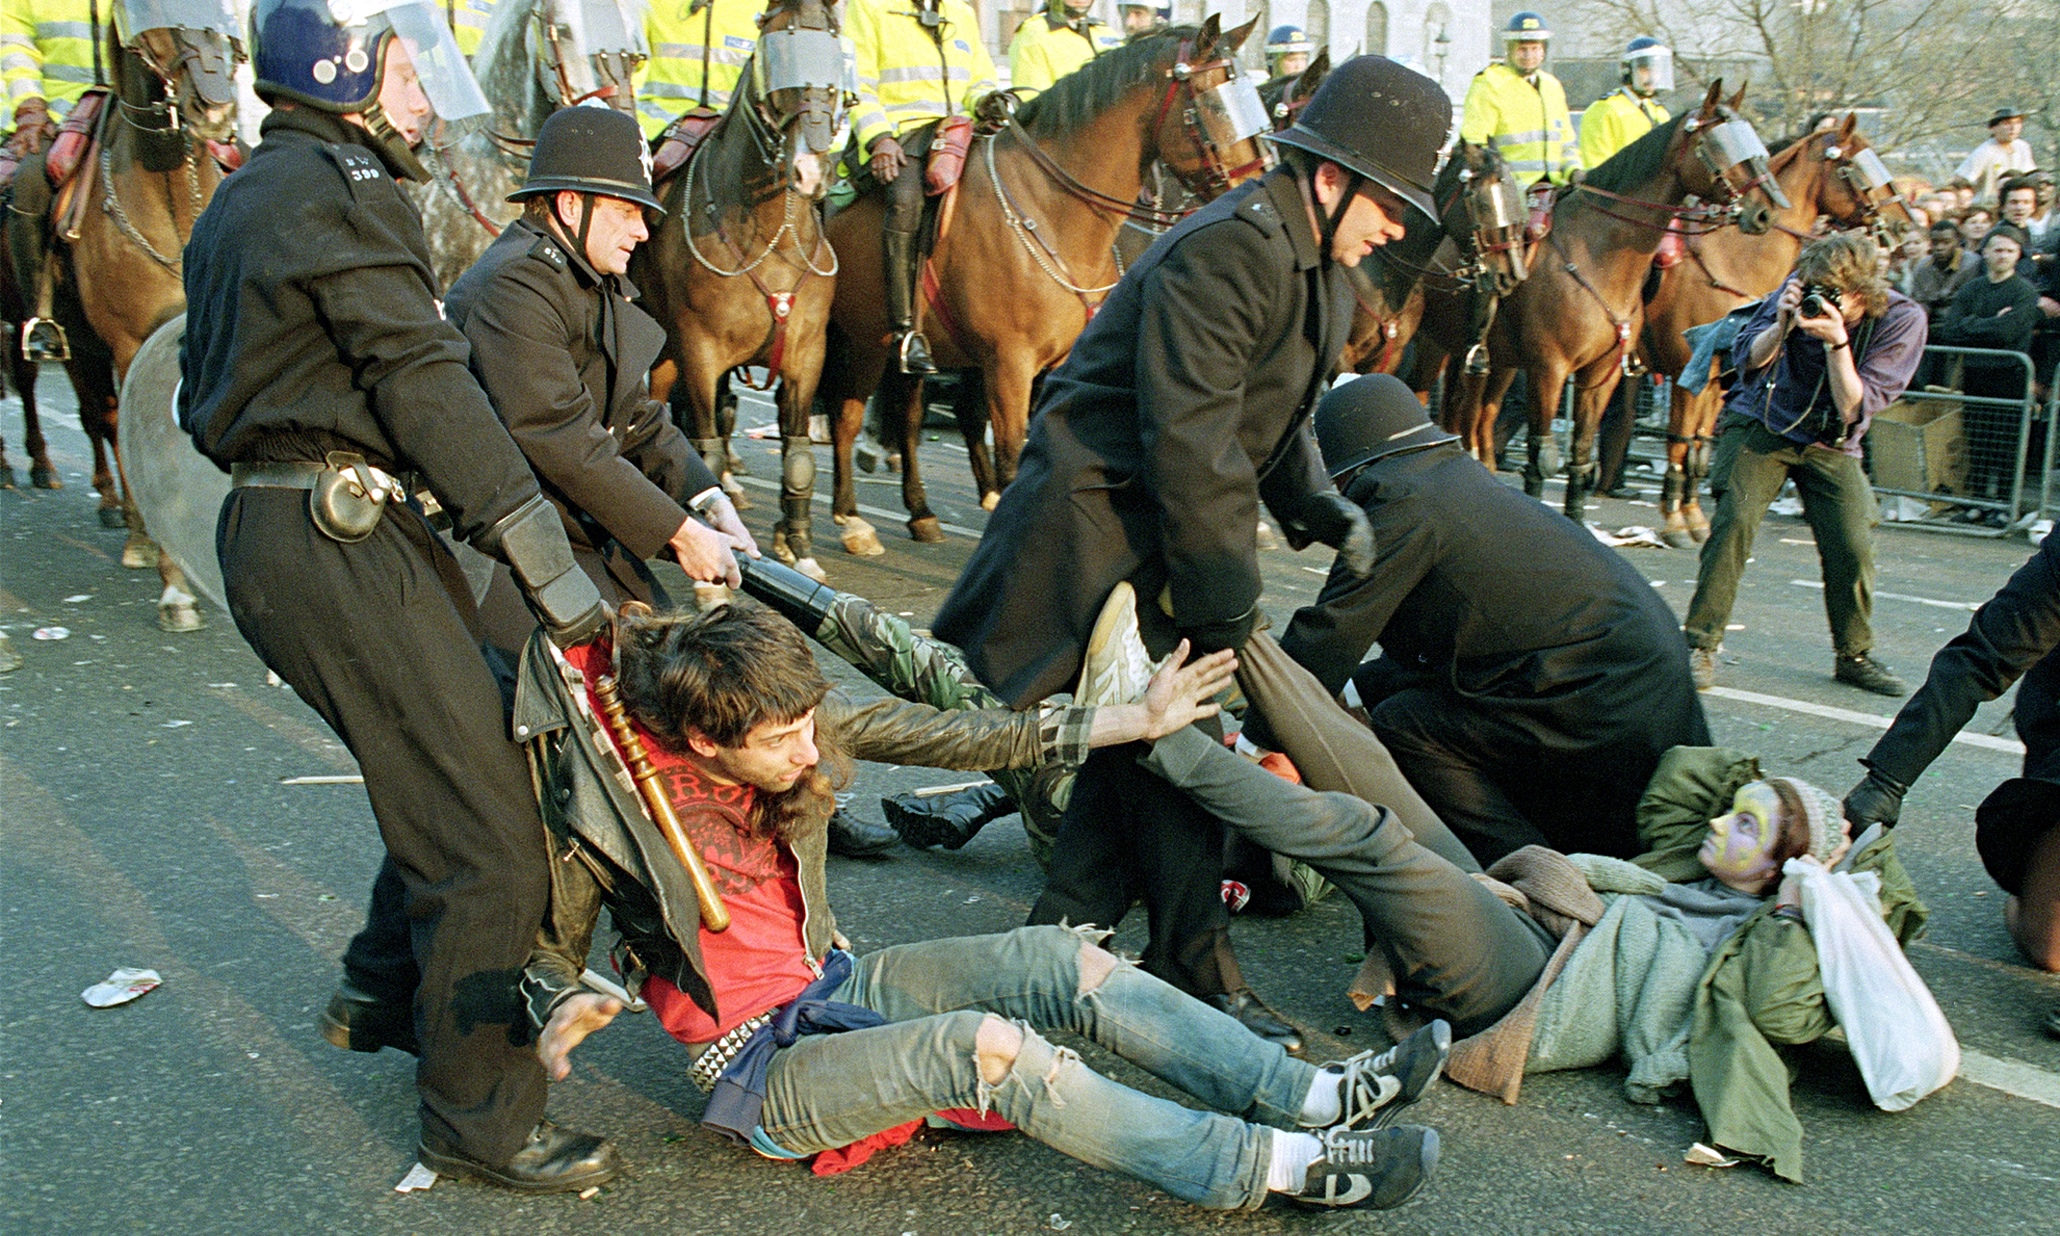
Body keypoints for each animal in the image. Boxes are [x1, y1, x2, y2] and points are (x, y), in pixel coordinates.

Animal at [634, 0, 844, 580]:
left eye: (833, 49)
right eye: (777, 48)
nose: (811, 167)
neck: (772, 236)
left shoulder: (807, 355)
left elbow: (798, 456)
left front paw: (801, 547)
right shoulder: (700, 350)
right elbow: (702, 446)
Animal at [1450, 80, 1788, 517]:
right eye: (1717, 145)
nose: (1765, 212)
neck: (1595, 255)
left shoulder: (1602, 374)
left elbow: (1581, 457)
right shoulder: (1550, 369)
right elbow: (1544, 457)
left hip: (1501, 364)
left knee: (1480, 420)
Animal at [1639, 113, 1911, 543]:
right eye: (1854, 165)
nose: (1904, 226)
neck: (1732, 258)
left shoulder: (1716, 381)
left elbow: (1700, 446)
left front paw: (1693, 516)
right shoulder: (1688, 373)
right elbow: (1680, 443)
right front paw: (1675, 521)